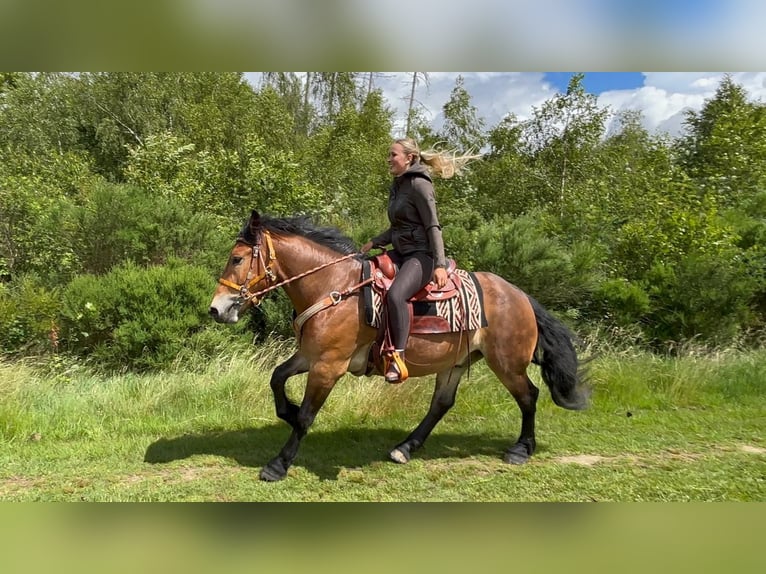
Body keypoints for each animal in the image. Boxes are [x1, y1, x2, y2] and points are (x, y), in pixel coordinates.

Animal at [209, 210, 589, 482]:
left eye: (237, 259)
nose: (217, 309)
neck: (332, 287)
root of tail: (520, 296)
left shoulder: (329, 365)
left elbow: (305, 416)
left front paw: (278, 464)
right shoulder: (310, 356)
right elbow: (276, 378)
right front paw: (285, 410)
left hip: (507, 363)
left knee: (529, 396)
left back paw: (521, 449)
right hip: (456, 362)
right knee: (441, 404)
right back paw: (405, 448)